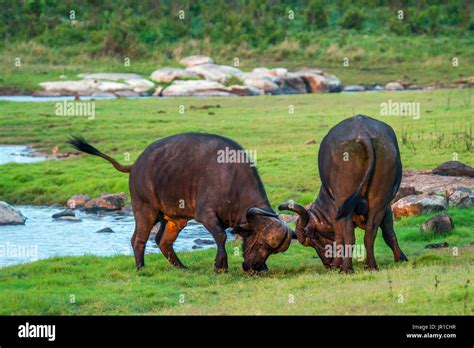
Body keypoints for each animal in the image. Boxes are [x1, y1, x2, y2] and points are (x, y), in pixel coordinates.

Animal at [67, 133, 292, 272]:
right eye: (260, 242)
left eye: (270, 250)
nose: (255, 268)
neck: (231, 180)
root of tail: (136, 164)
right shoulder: (205, 215)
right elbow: (220, 236)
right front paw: (220, 266)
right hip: (145, 209)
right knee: (138, 239)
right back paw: (141, 267)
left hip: (176, 218)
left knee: (162, 241)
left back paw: (181, 267)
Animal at [278, 115, 408, 274]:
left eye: (314, 240)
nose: (327, 264)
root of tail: (362, 133)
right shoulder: (387, 207)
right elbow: (389, 232)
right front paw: (401, 258)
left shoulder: (335, 210)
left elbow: (340, 237)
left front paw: (337, 264)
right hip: (379, 200)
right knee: (370, 232)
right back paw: (370, 265)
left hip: (344, 202)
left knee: (349, 235)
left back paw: (346, 268)